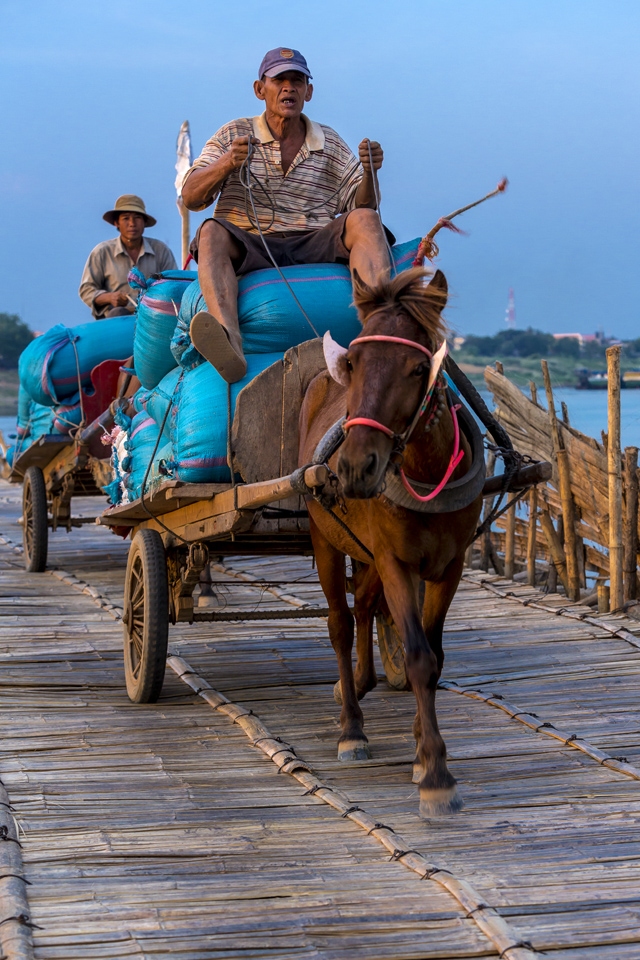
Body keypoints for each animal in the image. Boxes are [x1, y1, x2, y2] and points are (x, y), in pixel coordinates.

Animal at [298, 268, 482, 816]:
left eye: (418, 367)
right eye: (353, 363)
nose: (356, 468)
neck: (425, 469)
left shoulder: (449, 566)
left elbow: (435, 655)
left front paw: (422, 752)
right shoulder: (397, 561)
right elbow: (419, 656)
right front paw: (437, 775)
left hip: (368, 551)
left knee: (362, 605)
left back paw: (357, 683)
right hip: (325, 537)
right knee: (339, 622)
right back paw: (351, 727)